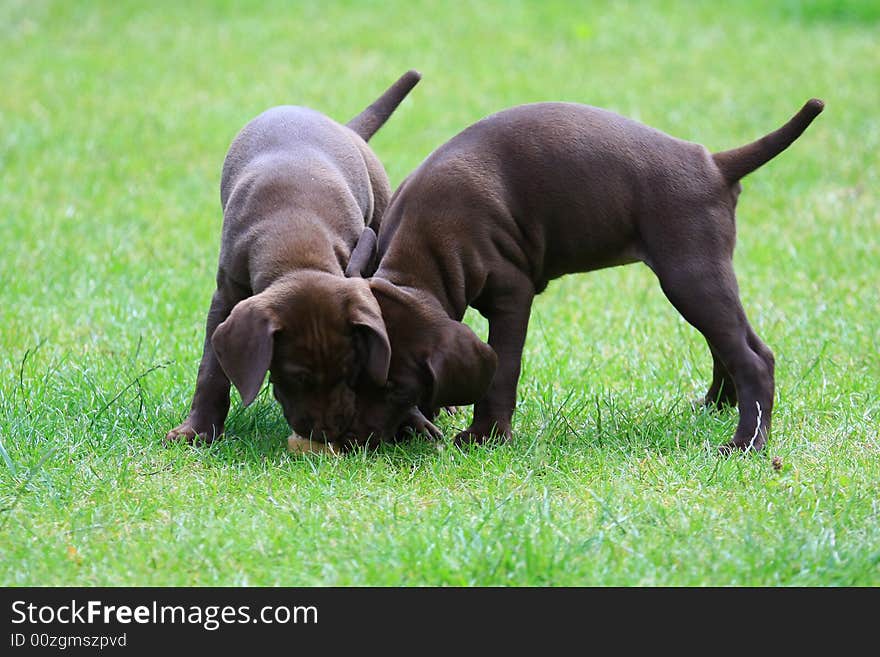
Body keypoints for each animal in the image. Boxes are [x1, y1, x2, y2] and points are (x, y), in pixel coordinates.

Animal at [167, 72, 432, 448]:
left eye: (350, 371)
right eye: (296, 377)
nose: (328, 432)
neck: (296, 244)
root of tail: (346, 128)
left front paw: (414, 419)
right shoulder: (227, 294)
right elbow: (211, 370)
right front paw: (198, 428)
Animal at [344, 97, 824, 452]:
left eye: (398, 389)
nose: (357, 444)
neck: (421, 258)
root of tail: (714, 163)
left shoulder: (512, 296)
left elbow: (502, 371)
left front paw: (487, 437)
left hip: (691, 274)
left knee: (754, 357)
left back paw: (746, 443)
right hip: (701, 278)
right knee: (726, 345)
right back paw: (715, 406)